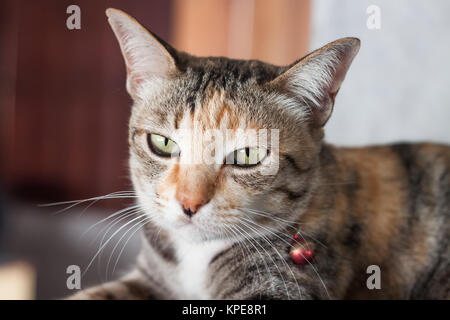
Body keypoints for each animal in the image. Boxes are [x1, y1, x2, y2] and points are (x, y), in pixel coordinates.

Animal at [68, 8, 448, 300]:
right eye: (162, 144)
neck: (197, 256)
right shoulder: (152, 278)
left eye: (248, 155)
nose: (188, 203)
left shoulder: (283, 283)